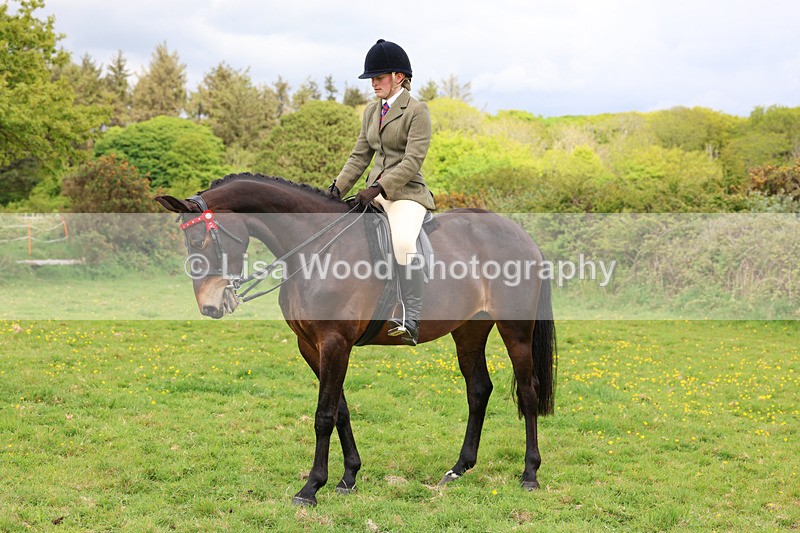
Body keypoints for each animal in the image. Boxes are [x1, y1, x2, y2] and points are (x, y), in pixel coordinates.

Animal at [156, 172, 556, 506]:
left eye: (199, 239)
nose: (210, 307)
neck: (316, 249)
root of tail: (521, 235)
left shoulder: (335, 342)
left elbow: (323, 415)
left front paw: (310, 488)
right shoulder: (312, 345)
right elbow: (341, 411)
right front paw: (348, 477)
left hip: (515, 329)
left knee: (528, 391)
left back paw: (530, 474)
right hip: (469, 329)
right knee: (478, 389)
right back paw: (458, 469)